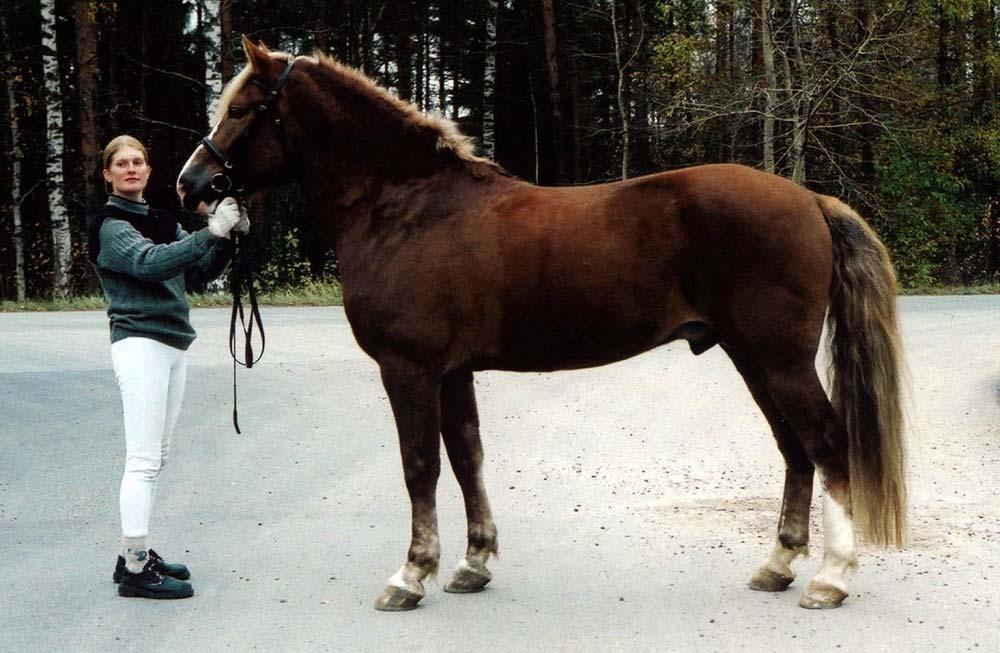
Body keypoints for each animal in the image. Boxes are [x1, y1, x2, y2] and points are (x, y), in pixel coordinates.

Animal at [178, 37, 908, 612]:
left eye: (241, 108)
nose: (191, 183)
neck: (404, 205)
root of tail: (809, 198)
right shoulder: (453, 372)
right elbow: (466, 457)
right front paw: (472, 564)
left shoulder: (409, 369)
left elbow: (420, 466)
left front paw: (411, 575)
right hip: (754, 358)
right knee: (794, 448)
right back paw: (778, 566)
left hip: (777, 359)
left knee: (826, 443)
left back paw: (831, 579)